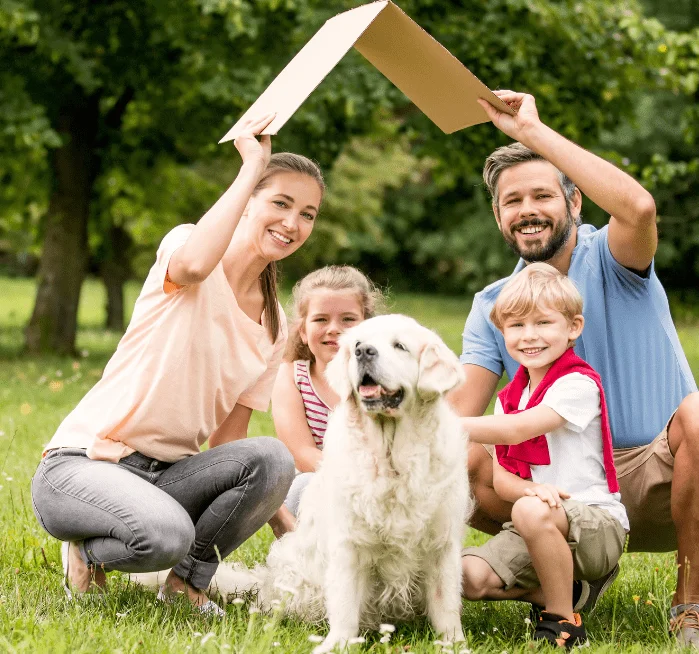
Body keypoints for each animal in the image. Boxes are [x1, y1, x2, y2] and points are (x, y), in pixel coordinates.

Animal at [133, 316, 470, 652]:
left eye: (399, 345)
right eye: (357, 343)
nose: (363, 352)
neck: (391, 458)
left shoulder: (442, 544)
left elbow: (446, 605)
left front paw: (455, 643)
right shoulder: (349, 543)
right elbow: (345, 605)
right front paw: (336, 644)